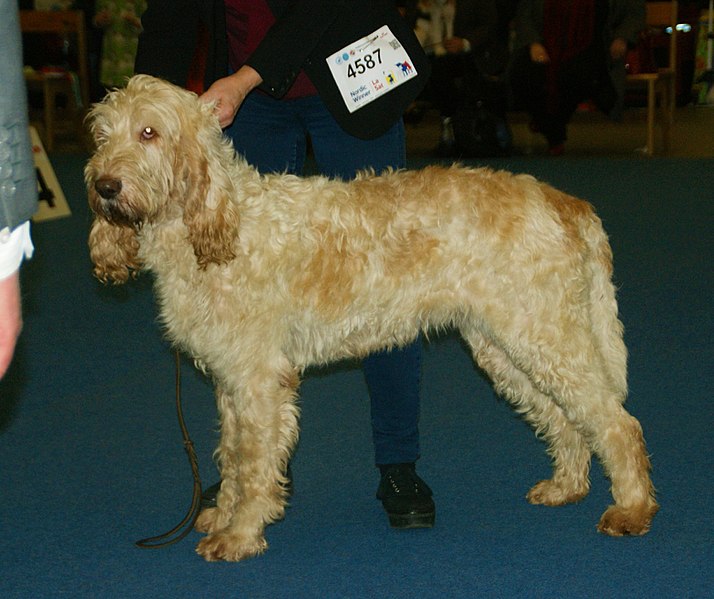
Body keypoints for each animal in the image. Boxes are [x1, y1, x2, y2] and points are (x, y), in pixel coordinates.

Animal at [85, 75, 656, 564]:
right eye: (102, 135)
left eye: (149, 132)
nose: (105, 186)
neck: (218, 220)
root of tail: (563, 201)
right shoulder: (230, 380)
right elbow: (231, 455)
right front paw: (223, 515)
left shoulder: (258, 380)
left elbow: (252, 463)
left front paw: (241, 534)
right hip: (505, 346)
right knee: (566, 417)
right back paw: (567, 487)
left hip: (545, 335)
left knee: (616, 421)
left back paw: (631, 509)